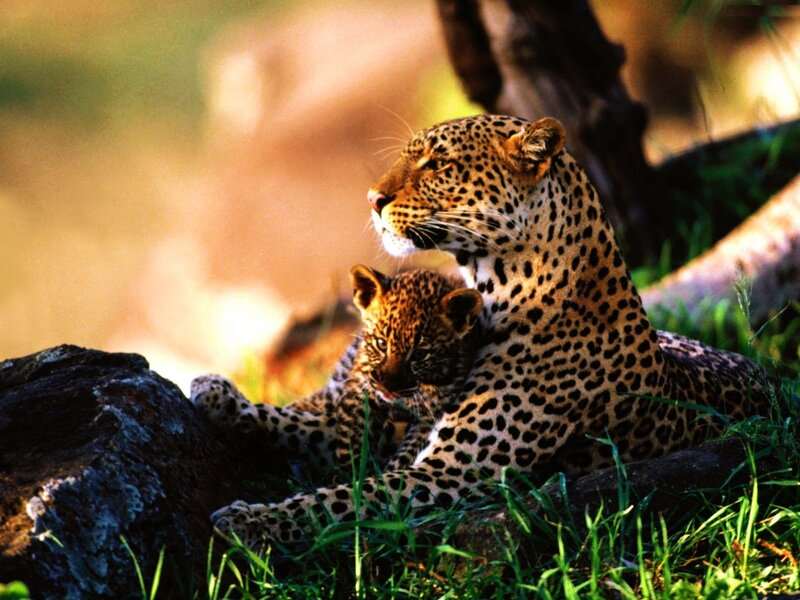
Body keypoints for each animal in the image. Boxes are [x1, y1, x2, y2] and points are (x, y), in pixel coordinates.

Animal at [192, 264, 482, 477]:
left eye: (420, 354)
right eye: (381, 343)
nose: (387, 387)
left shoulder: (423, 416)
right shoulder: (342, 393)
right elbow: (296, 415)